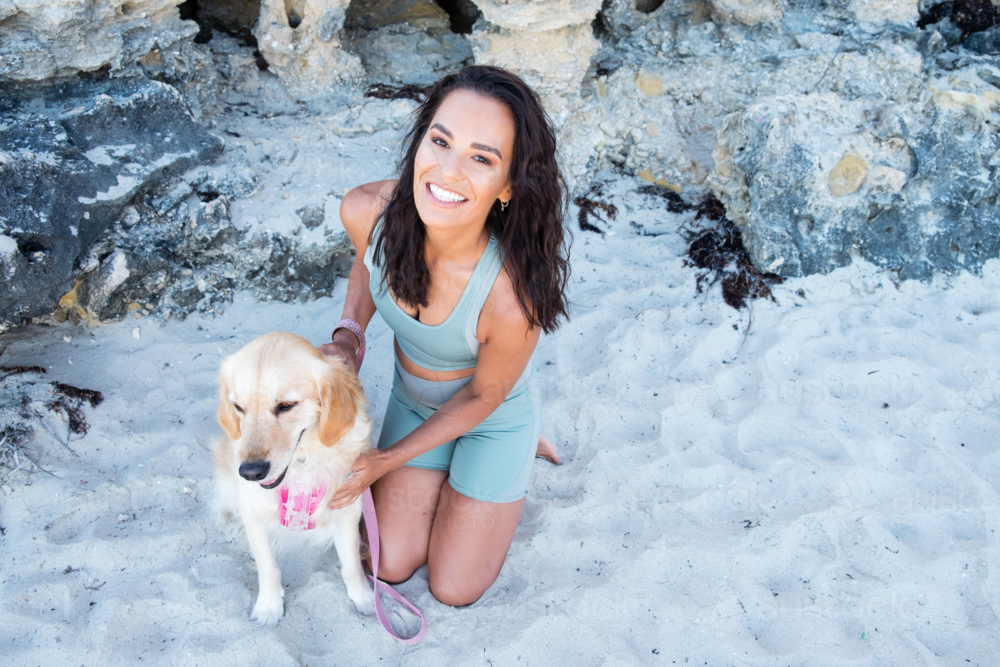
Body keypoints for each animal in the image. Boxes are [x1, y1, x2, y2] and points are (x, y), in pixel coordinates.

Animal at [212, 334, 376, 628]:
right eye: (238, 407)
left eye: (286, 406)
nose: (250, 472)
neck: (303, 463)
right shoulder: (252, 510)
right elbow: (268, 567)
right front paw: (268, 607)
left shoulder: (347, 508)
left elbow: (351, 566)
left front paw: (365, 598)